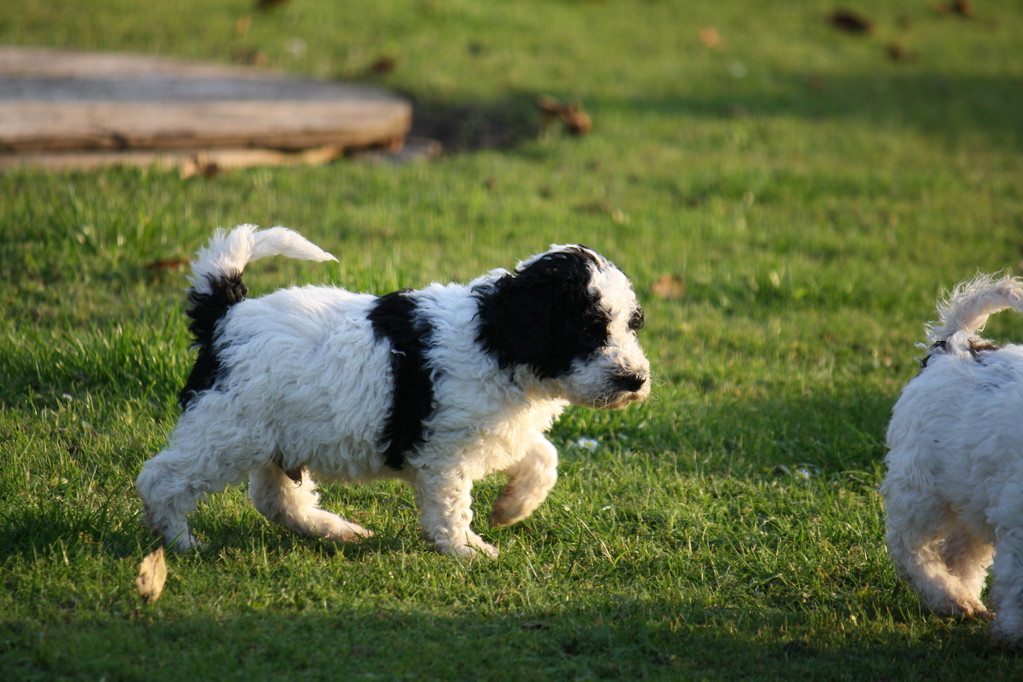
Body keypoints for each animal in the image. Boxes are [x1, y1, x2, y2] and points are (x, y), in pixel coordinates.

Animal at [136, 226, 650, 556]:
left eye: (632, 326)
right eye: (588, 329)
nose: (636, 380)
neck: (497, 336)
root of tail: (226, 314)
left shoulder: (500, 428)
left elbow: (544, 456)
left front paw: (511, 508)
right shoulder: (444, 453)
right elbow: (450, 504)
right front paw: (466, 550)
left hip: (275, 435)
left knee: (276, 499)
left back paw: (336, 531)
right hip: (225, 429)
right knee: (162, 479)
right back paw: (180, 543)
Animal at [883, 274, 1023, 646]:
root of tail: (954, 343)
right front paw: (1013, 631)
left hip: (972, 486)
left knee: (961, 551)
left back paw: (964, 597)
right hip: (923, 483)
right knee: (909, 545)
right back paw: (950, 597)